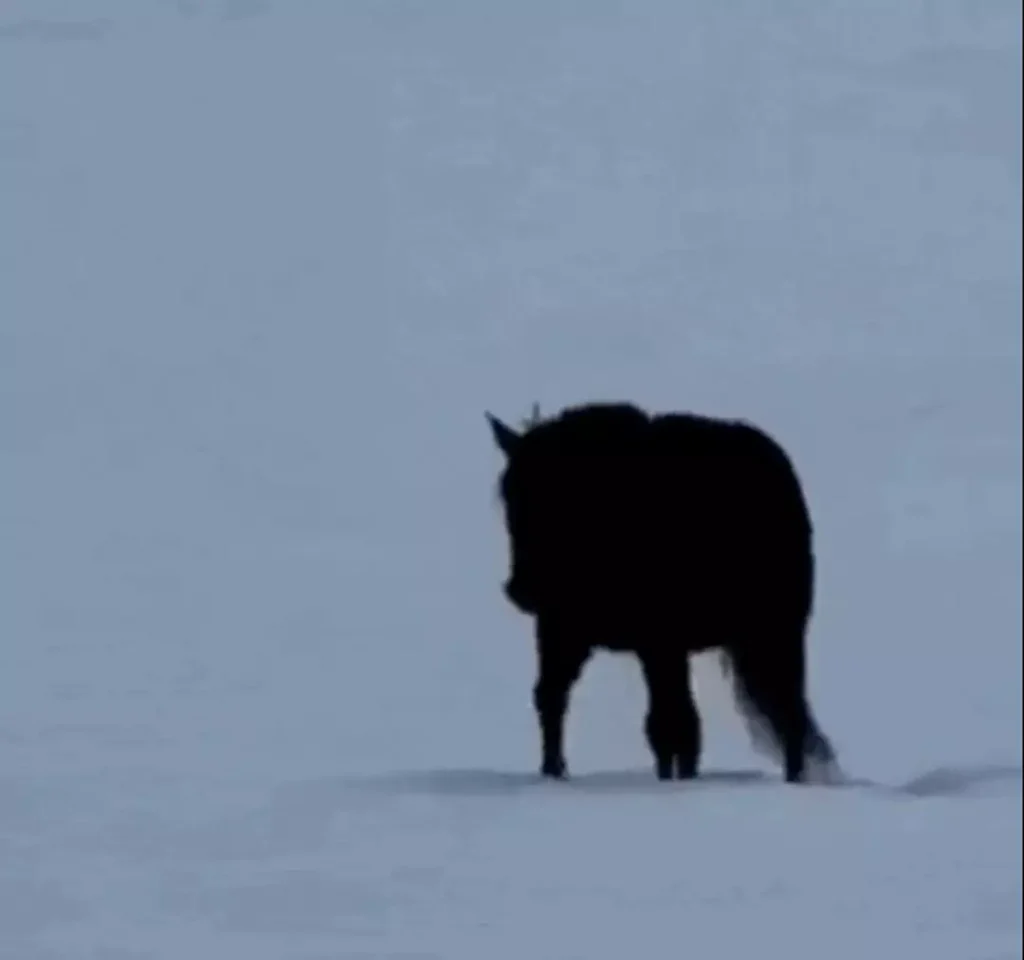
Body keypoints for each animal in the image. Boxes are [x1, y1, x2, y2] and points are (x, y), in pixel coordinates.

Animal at [486, 401, 838, 784]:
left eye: (559, 499)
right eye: (509, 498)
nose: (520, 589)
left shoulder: (660, 641)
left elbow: (672, 722)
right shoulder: (564, 629)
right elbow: (551, 696)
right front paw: (553, 770)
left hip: (776, 631)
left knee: (785, 710)